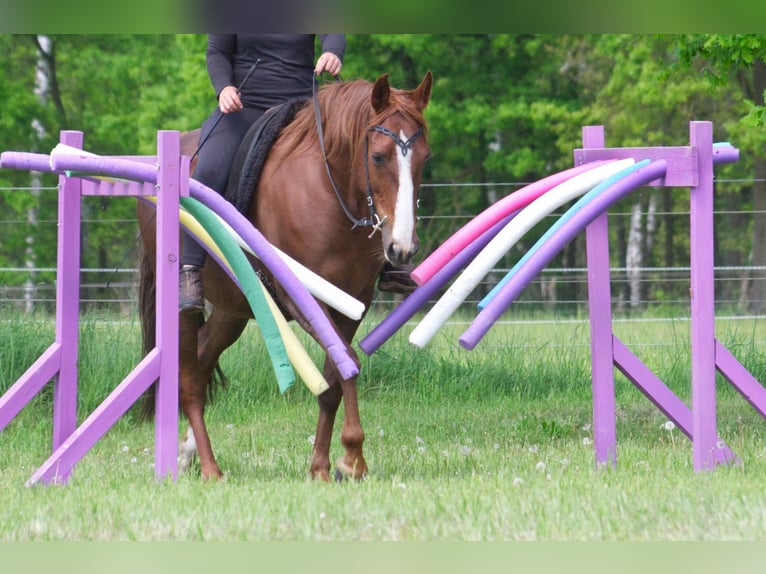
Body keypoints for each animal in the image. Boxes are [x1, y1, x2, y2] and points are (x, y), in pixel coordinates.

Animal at [134, 73, 428, 486]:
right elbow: (347, 362)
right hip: (182, 308)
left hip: (233, 309)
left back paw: (190, 452)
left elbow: (334, 376)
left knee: (205, 355)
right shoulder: (300, 298)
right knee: (190, 380)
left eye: (424, 158)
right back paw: (209, 467)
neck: (328, 193)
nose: (402, 248)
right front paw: (353, 457)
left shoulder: (353, 305)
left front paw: (321, 466)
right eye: (378, 157)